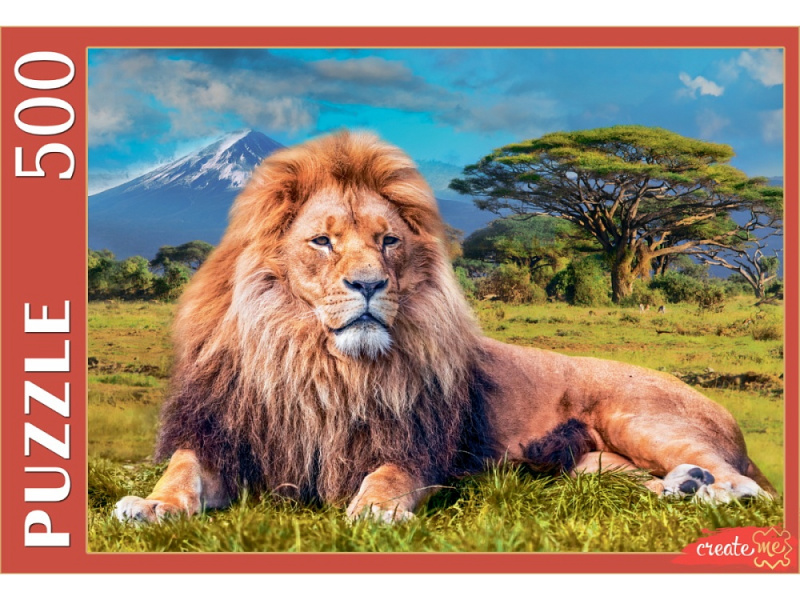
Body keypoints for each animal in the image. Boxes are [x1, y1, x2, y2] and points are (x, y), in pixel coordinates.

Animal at [114, 131, 775, 524]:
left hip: (639, 418)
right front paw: (148, 505)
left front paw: (376, 513)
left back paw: (711, 490)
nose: (369, 284)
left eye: (388, 241)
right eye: (322, 241)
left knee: (751, 490)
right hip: (591, 465)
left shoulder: (413, 447)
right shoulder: (222, 436)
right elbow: (181, 471)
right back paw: (682, 489)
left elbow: (386, 478)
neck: (318, 364)